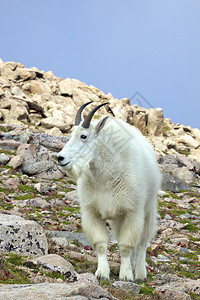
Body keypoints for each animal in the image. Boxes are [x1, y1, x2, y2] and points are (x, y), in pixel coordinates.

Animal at [56, 101, 161, 282]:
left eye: (83, 136)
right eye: (71, 134)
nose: (60, 158)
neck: (104, 174)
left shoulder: (133, 213)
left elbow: (126, 245)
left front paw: (126, 276)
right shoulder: (92, 212)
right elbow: (101, 244)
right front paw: (102, 273)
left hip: (148, 210)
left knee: (142, 244)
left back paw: (140, 273)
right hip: (117, 219)